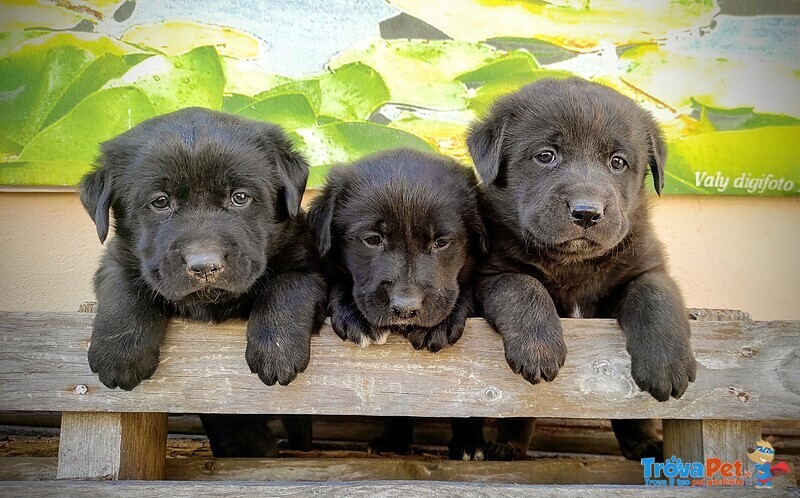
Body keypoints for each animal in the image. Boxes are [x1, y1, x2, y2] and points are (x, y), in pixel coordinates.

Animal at [76, 107, 324, 458]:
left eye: (240, 197)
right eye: (160, 202)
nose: (205, 266)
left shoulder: (308, 263)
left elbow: (289, 284)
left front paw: (277, 351)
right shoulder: (118, 258)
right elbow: (123, 286)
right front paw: (120, 354)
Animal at [466, 78, 696, 460]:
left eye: (618, 162)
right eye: (546, 155)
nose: (587, 212)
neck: (573, 264)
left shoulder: (647, 266)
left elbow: (655, 295)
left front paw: (666, 365)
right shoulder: (493, 273)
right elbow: (523, 286)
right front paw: (539, 347)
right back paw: (507, 446)